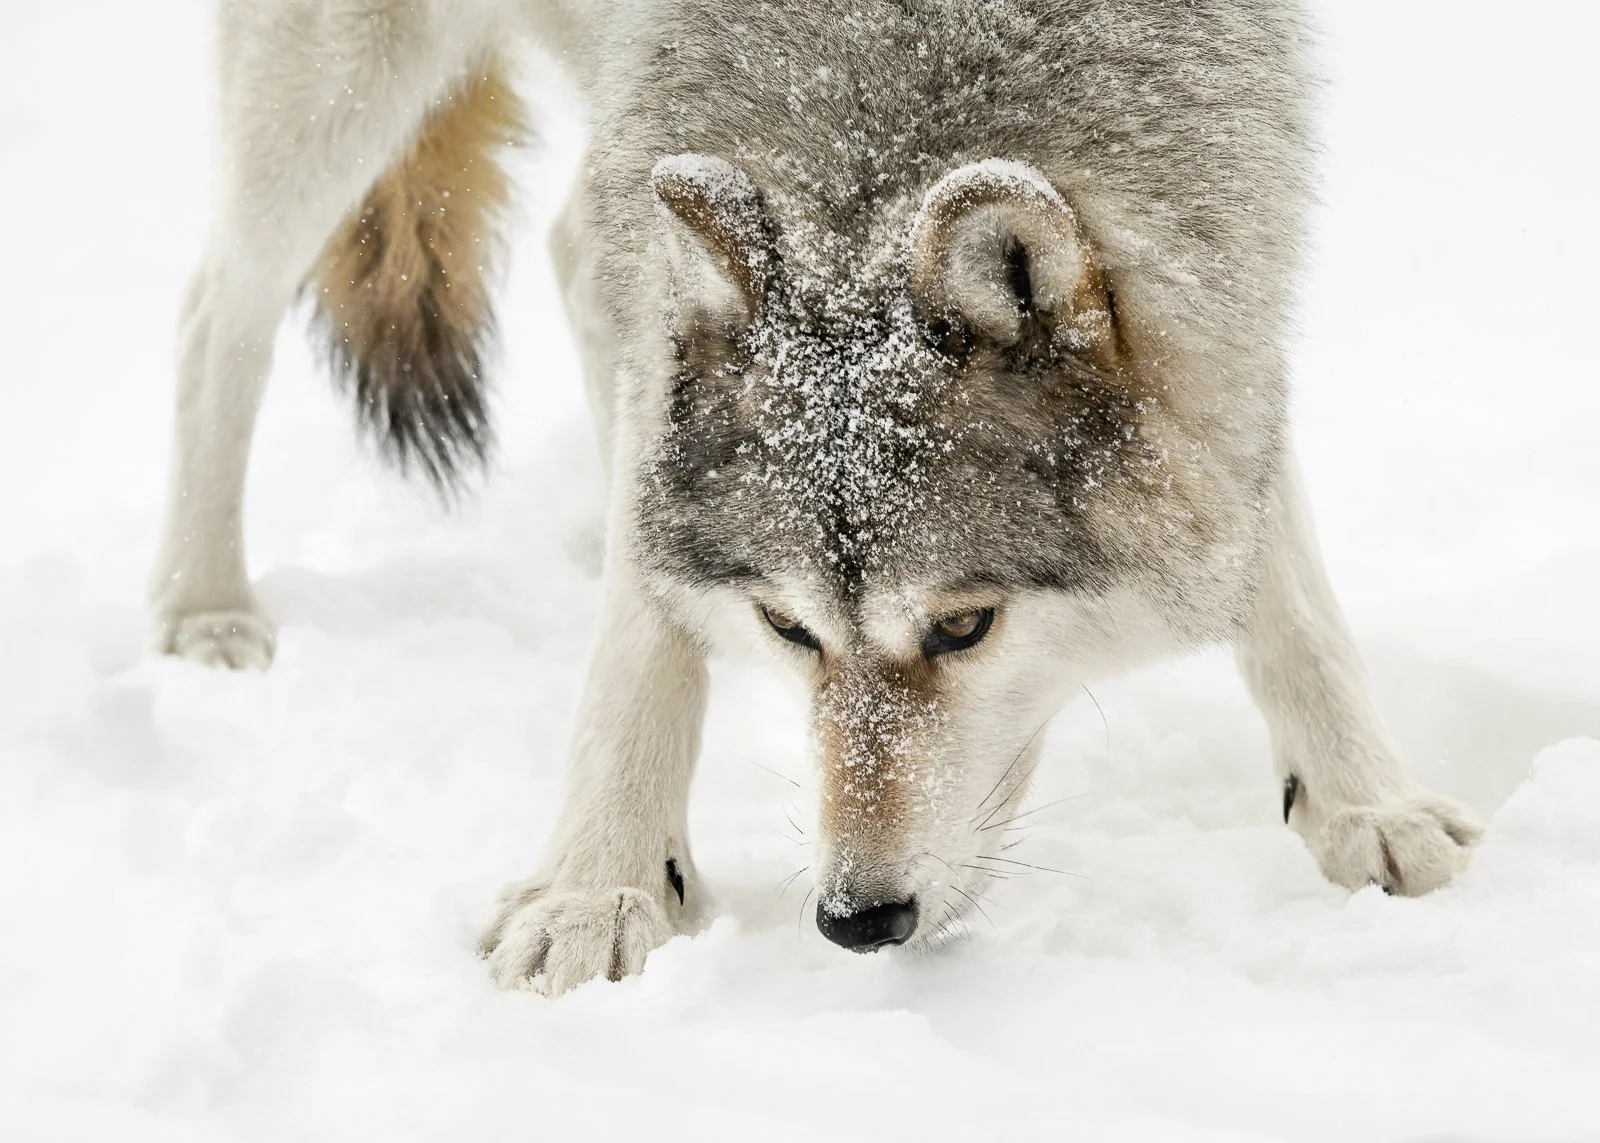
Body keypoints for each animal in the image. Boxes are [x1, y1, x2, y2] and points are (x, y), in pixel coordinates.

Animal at [152, 0, 1482, 996]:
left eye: (963, 627)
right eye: (786, 628)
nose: (856, 922)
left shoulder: (1221, 314)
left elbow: (1288, 587)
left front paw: (1374, 820)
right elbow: (635, 661)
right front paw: (597, 894)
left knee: (575, 247)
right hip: (332, 91)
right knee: (221, 301)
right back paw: (204, 612)